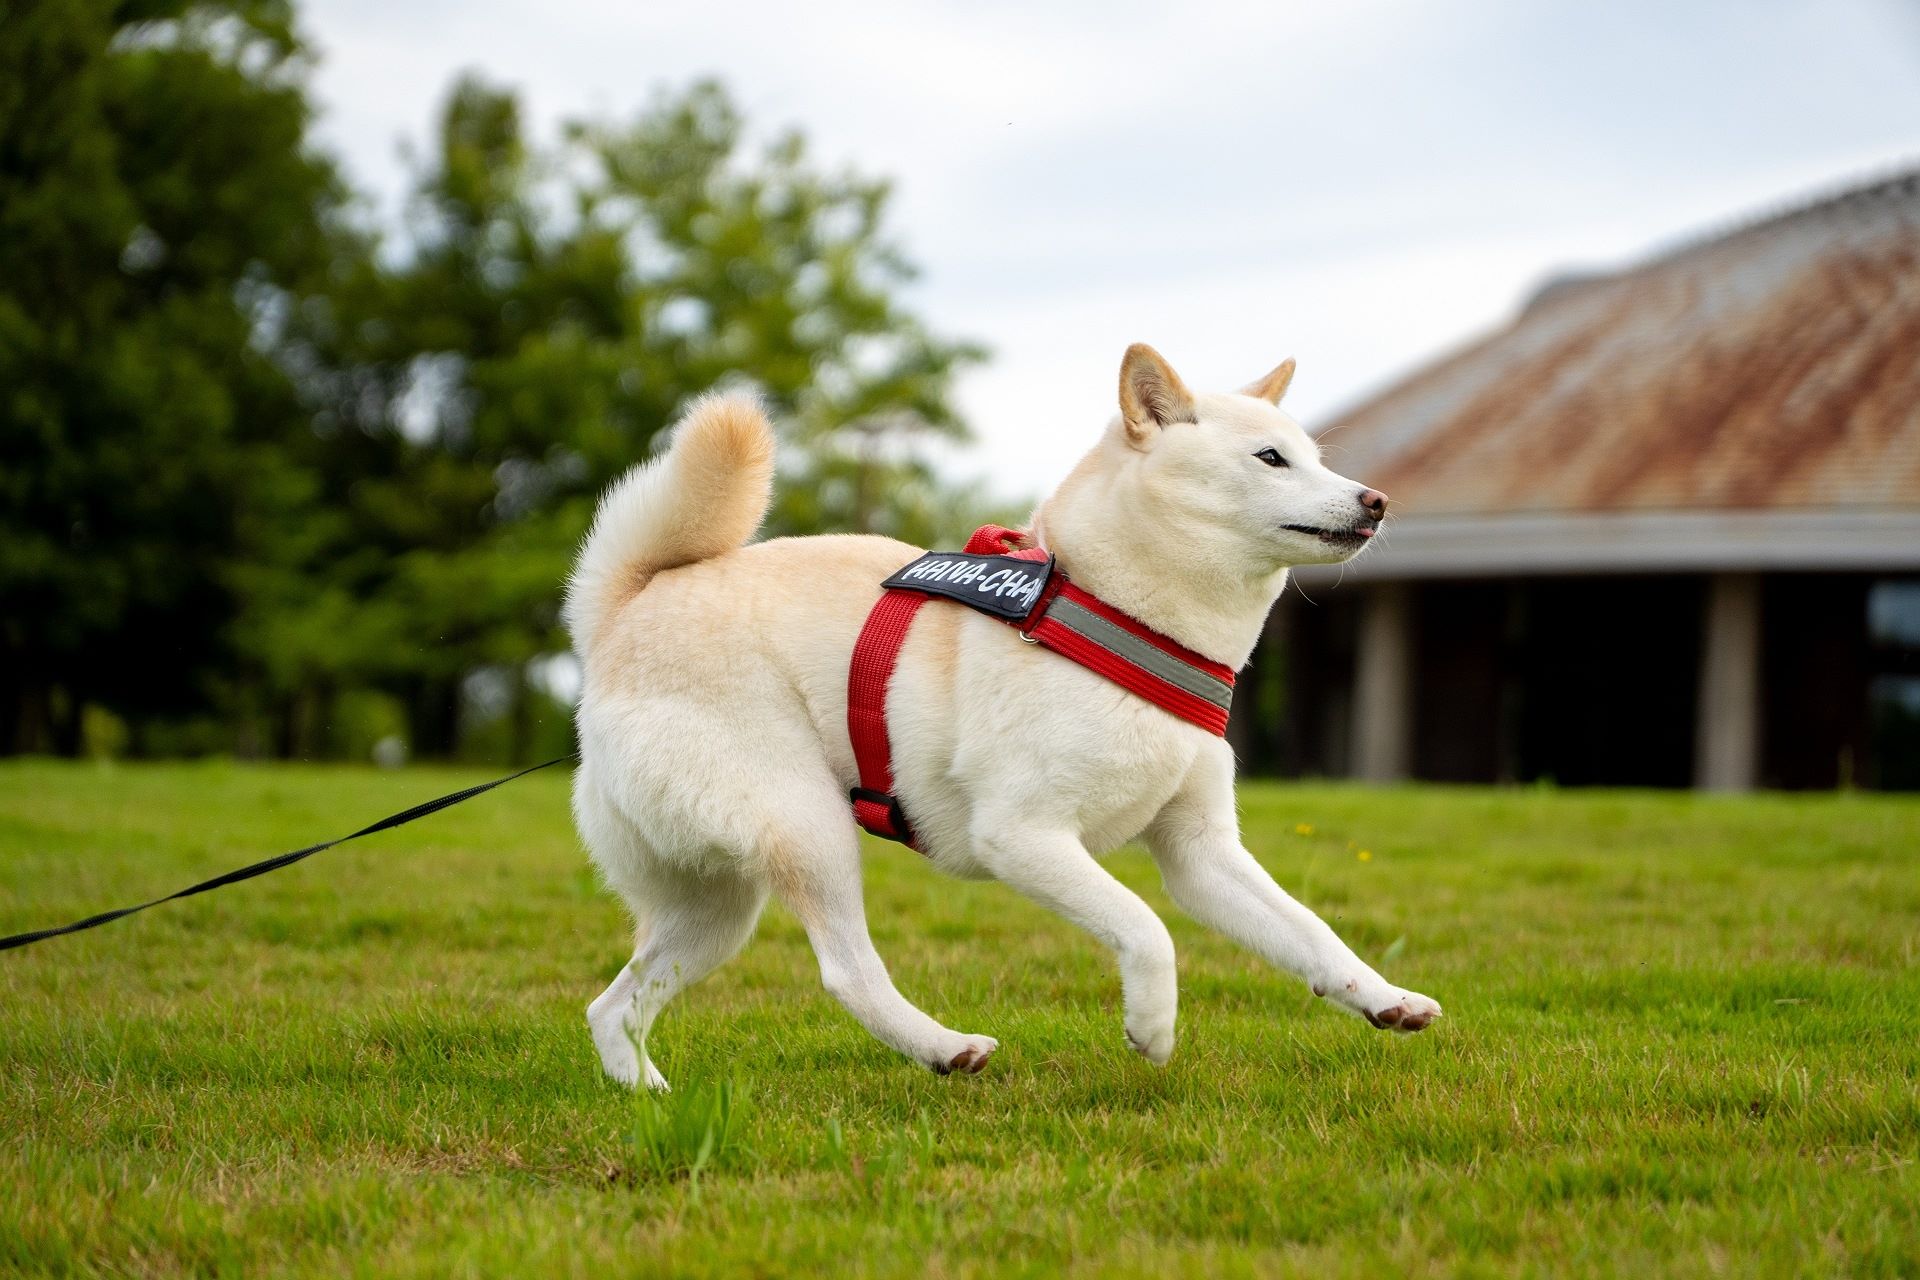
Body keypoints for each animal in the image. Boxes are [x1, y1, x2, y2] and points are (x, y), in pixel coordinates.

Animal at [564, 345, 1443, 1090]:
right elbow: (1147, 930)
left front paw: (1383, 997)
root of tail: (625, 610)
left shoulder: (1203, 854)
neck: (1116, 620)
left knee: (612, 1007)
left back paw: (645, 1093)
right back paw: (942, 1047)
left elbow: (1312, 933)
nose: (1376, 499)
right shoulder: (1023, 836)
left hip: (717, 906)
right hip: (807, 827)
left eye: (1316, 456)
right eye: (1270, 459)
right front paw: (1152, 1027)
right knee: (846, 971)